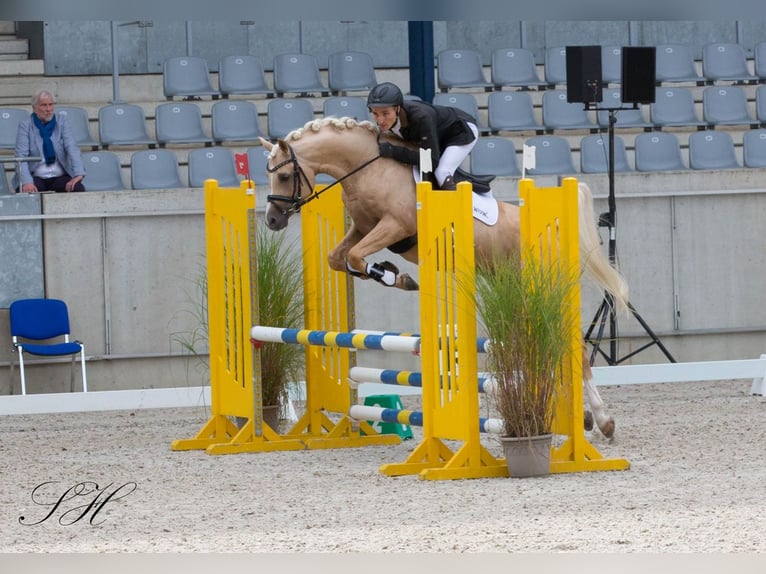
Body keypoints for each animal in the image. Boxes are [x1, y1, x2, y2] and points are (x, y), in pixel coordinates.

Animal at [260, 118, 632, 440]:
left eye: (286, 175)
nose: (273, 220)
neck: (369, 167)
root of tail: (555, 229)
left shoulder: (393, 225)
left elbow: (353, 257)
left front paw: (397, 277)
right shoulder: (362, 229)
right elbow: (339, 258)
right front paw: (390, 272)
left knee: (574, 345)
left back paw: (602, 420)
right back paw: (582, 418)